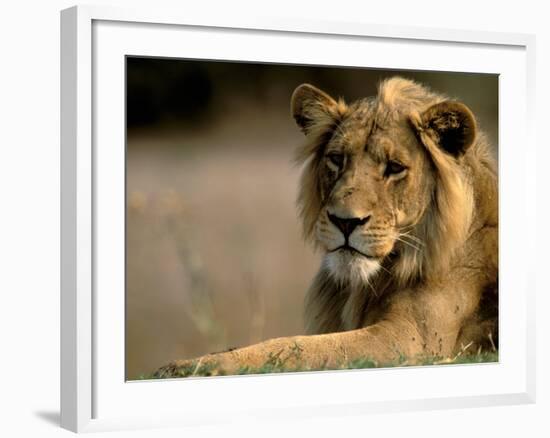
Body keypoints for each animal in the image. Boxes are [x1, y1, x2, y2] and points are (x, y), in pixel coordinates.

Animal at [155, 77, 500, 378]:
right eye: (337, 159)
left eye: (395, 167)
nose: (345, 221)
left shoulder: (413, 340)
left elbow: (295, 349)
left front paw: (191, 366)